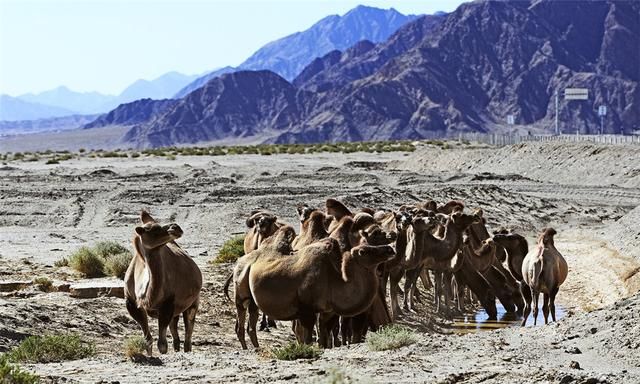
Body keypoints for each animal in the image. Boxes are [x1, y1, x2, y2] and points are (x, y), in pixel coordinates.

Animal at [124, 212, 201, 356]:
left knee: (188, 332)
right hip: (176, 311)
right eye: (153, 229)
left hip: (193, 302)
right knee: (175, 333)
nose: (176, 228)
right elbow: (148, 339)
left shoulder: (168, 304)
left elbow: (162, 344)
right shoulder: (132, 304)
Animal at [246, 243, 392, 348]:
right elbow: (309, 336)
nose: (389, 249)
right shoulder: (306, 310)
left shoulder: (329, 311)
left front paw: (323, 347)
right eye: (364, 251)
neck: (333, 280)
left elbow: (324, 334)